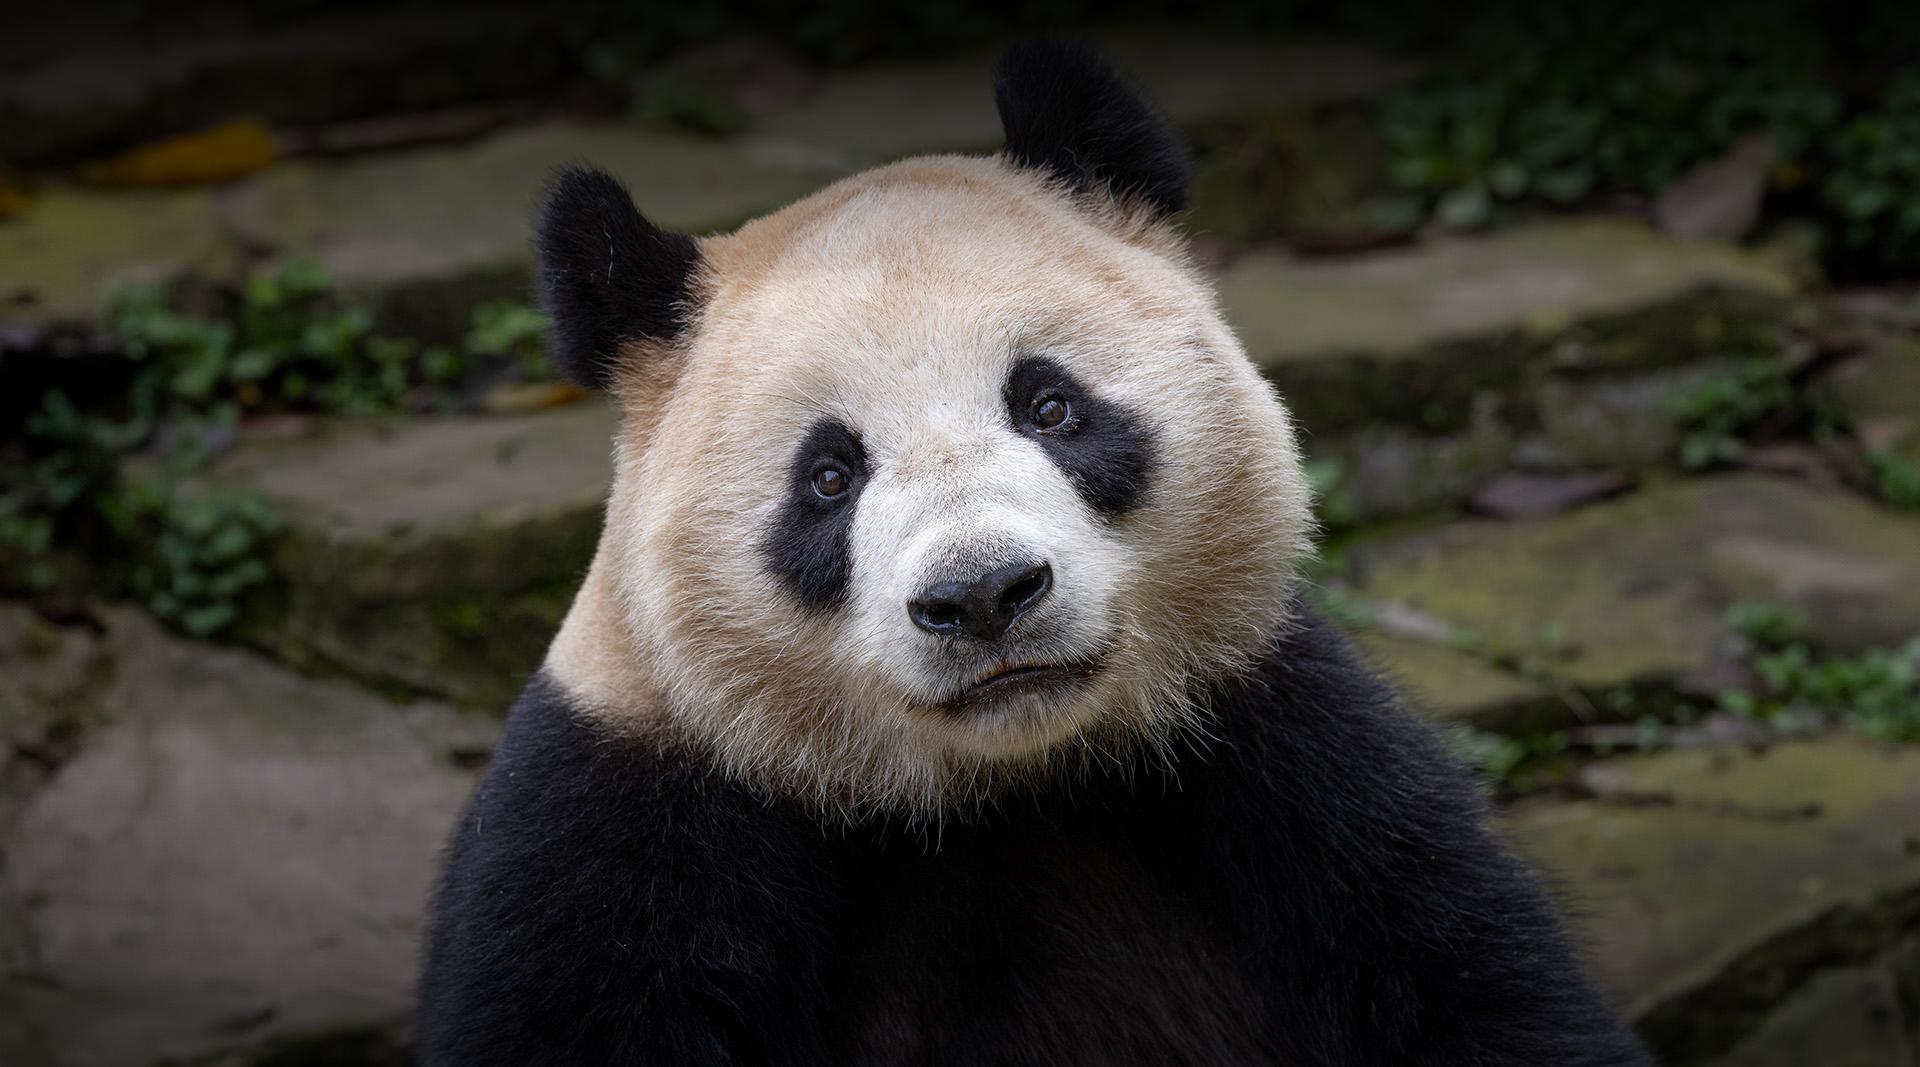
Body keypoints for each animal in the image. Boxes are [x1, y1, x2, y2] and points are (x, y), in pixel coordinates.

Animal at [417, 41, 1651, 1066]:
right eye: (829, 476)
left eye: (1050, 405)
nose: (982, 595)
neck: (993, 788)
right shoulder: (626, 823)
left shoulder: (1285, 755)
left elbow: (1472, 977)